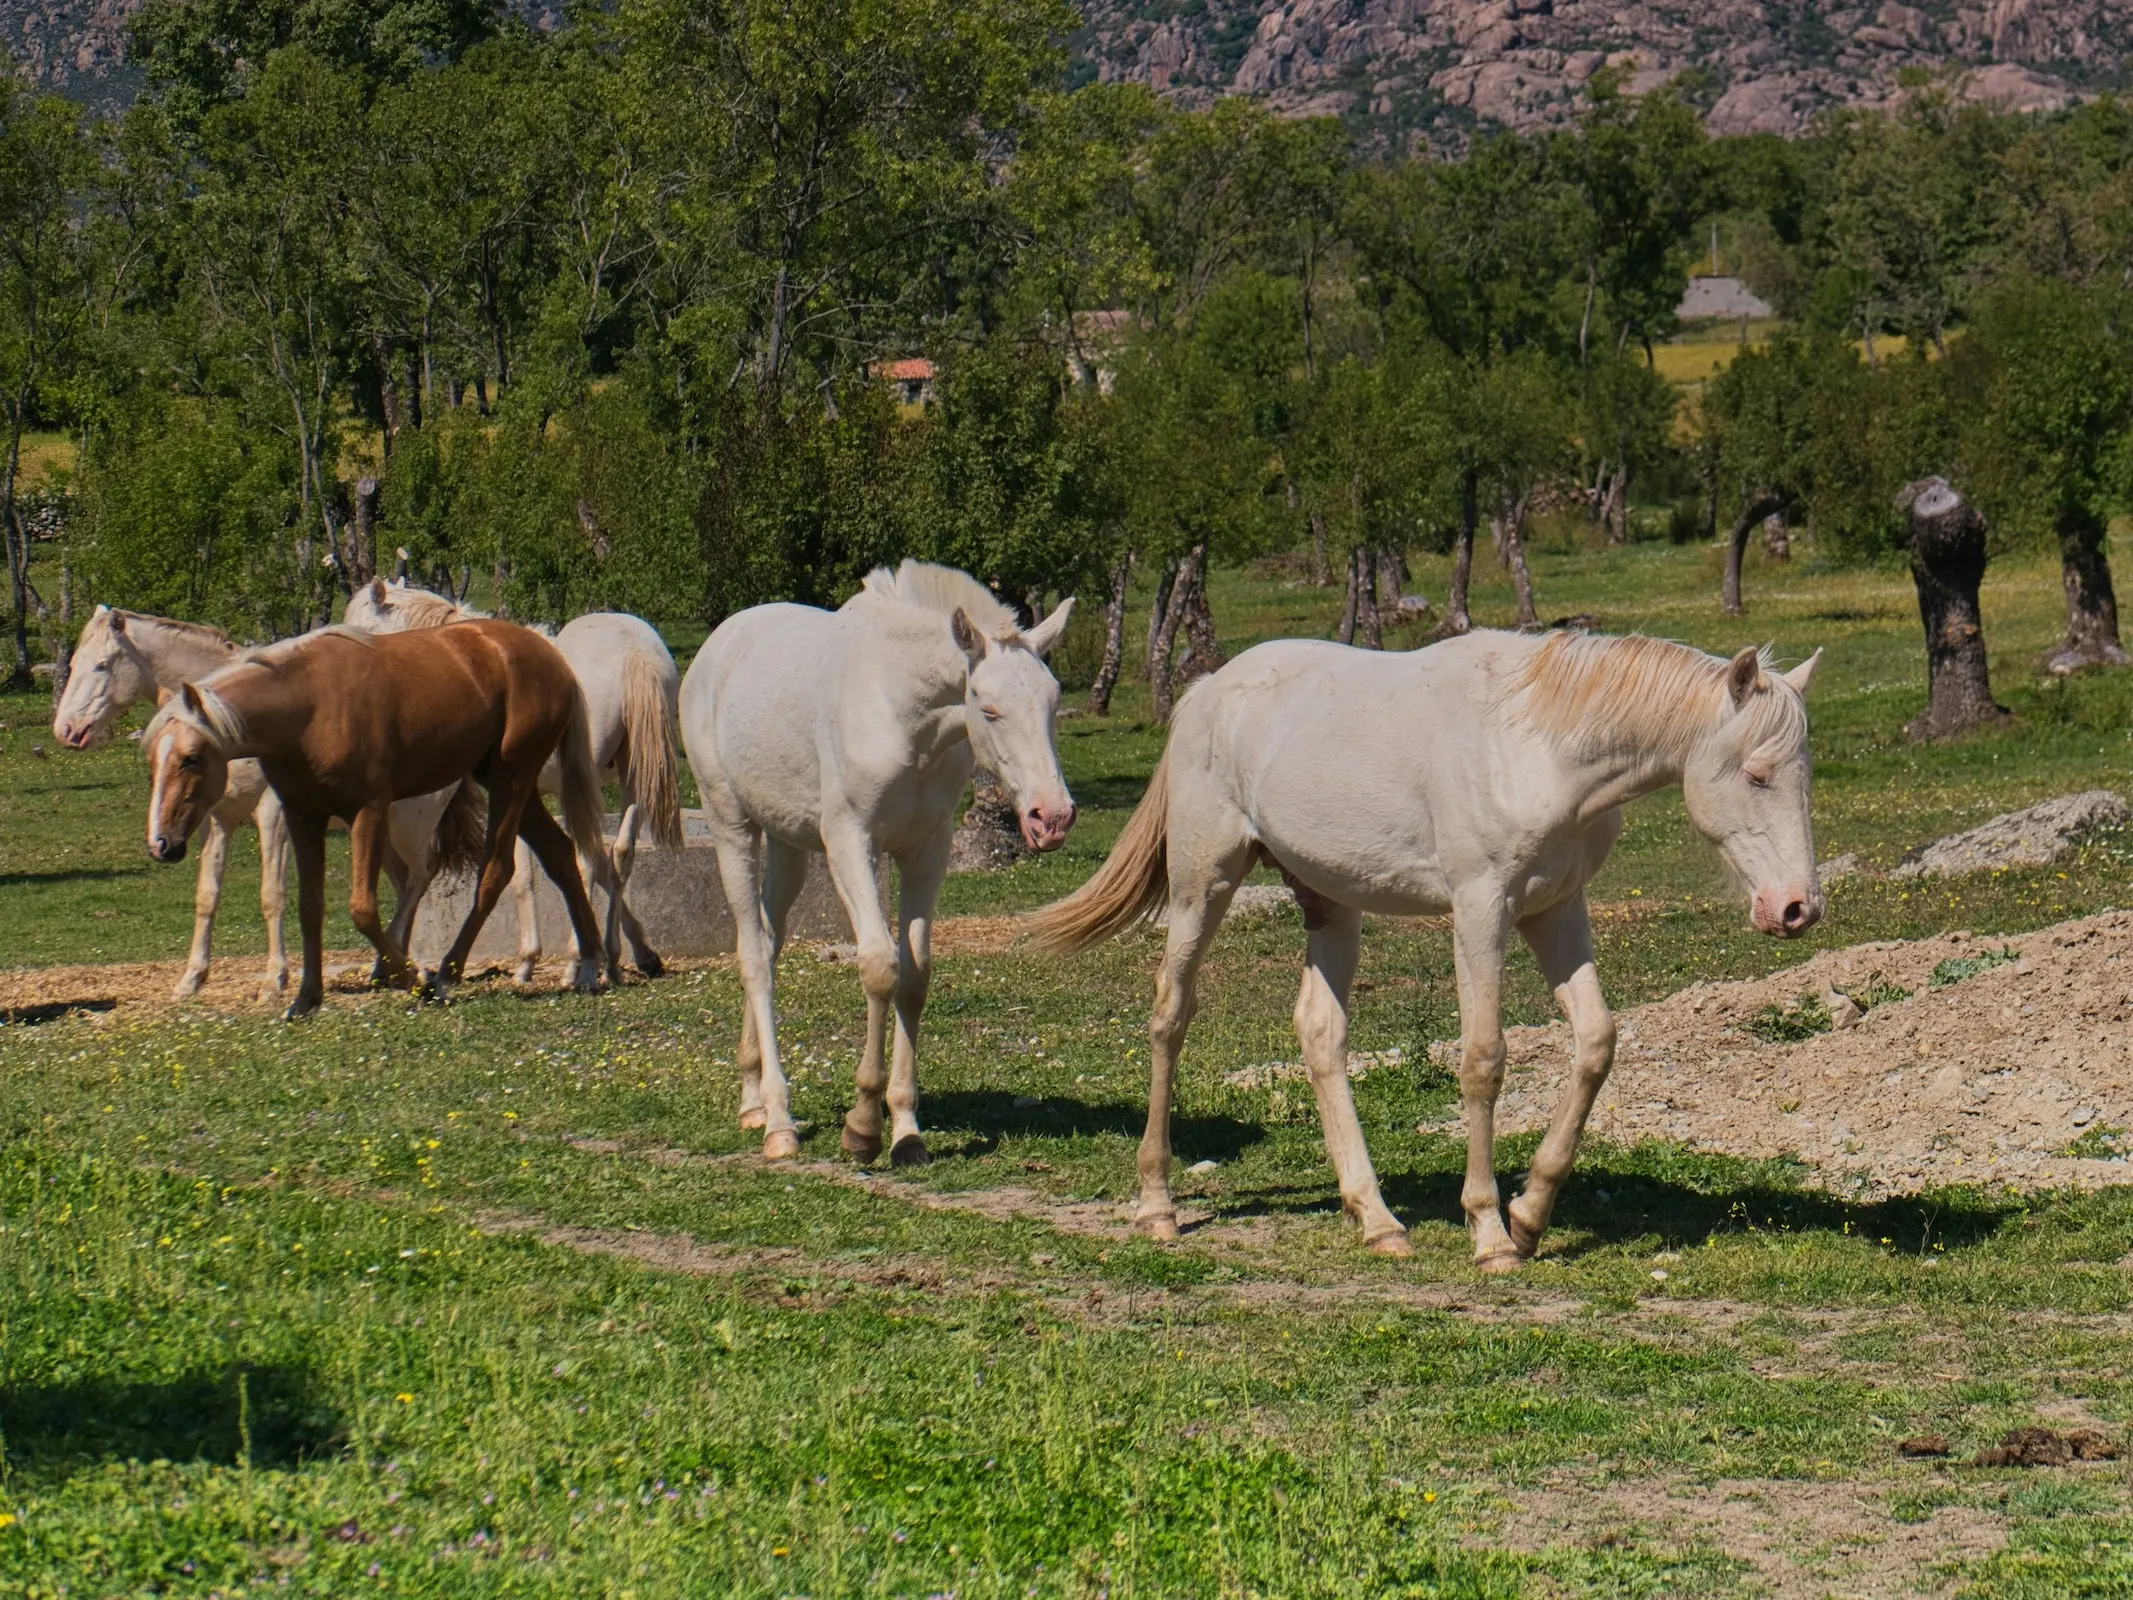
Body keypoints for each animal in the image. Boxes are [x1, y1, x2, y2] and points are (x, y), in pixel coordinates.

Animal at [51, 605, 477, 998]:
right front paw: (192, 979)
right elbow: (207, 895)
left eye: (103, 665)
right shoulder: (216, 821)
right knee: (403, 884)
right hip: (380, 832)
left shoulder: (273, 816)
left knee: (422, 874)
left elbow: (272, 894)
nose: (65, 730)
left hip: (409, 826)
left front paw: (276, 979)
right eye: (72, 664)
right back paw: (387, 967)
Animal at [141, 618, 610, 1019]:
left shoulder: (367, 812)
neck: (308, 704)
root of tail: (549, 655)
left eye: (191, 758)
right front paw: (306, 998)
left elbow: (362, 909)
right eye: (152, 762)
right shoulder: (303, 816)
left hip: (512, 778)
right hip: (503, 780)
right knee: (560, 855)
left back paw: (446, 975)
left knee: (496, 871)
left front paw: (412, 977)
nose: (161, 843)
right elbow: (310, 906)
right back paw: (591, 966)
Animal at [345, 584, 682, 989]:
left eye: (360, 626)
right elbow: (592, 867)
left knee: (588, 856)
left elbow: (524, 876)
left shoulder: (515, 793)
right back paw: (611, 959)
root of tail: (634, 654)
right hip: (633, 775)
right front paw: (635, 953)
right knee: (620, 852)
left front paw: (529, 960)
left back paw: (578, 963)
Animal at [686, 563, 1083, 1169]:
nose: (1052, 817)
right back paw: (778, 1120)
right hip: (732, 827)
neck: (901, 711)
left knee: (771, 943)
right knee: (753, 955)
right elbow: (879, 966)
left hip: (788, 844)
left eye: (1054, 703)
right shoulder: (852, 843)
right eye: (988, 708)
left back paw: (752, 1097)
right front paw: (864, 1125)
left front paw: (907, 1130)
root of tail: (716, 647)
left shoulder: (927, 851)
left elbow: (914, 976)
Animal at [1028, 631, 1817, 1271]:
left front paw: (1530, 1215)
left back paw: (1376, 1220)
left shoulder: (1554, 910)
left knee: (1320, 1032)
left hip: (1329, 903)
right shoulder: (1480, 909)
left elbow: (1596, 1042)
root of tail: (1205, 694)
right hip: (1203, 885)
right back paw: (1157, 1205)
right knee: (1171, 1016)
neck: (1539, 746)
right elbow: (1483, 1059)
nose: (1796, 908)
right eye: (1754, 775)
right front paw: (1490, 1232)